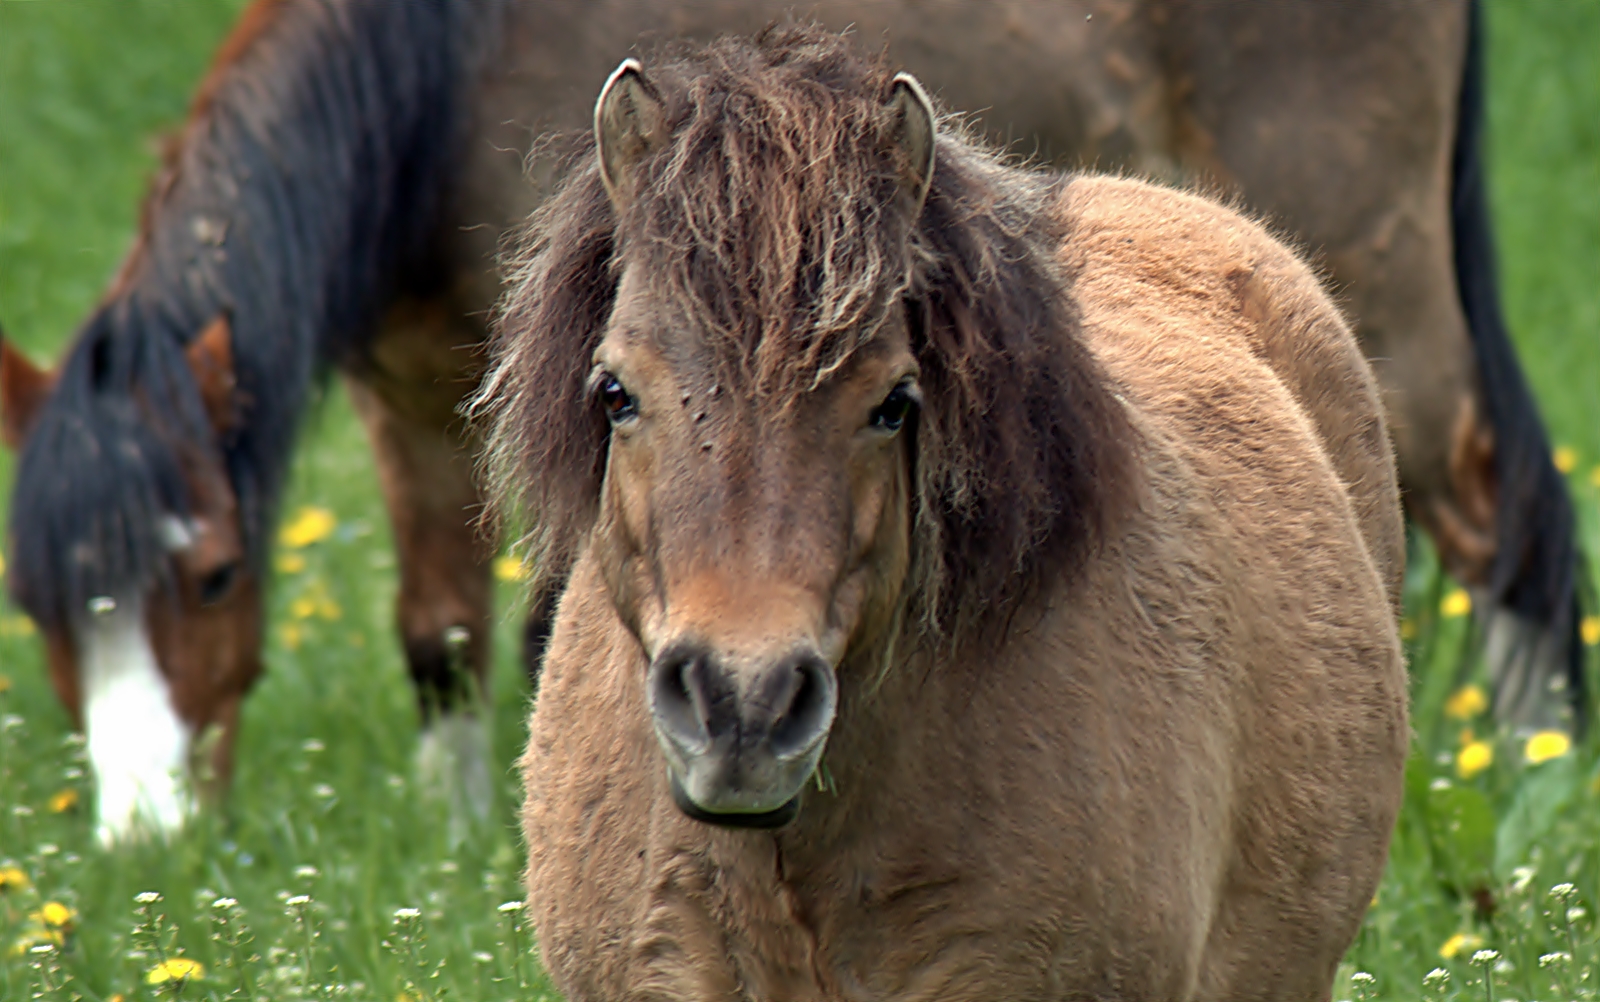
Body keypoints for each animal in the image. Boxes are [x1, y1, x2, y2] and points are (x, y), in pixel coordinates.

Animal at [0, 0, 1574, 845]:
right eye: (41, 605)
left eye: (211, 574)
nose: (145, 838)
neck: (430, 85)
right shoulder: (419, 404)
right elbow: (438, 639)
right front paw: (455, 834)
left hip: (1374, 278)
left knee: (1492, 508)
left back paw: (1533, 777)